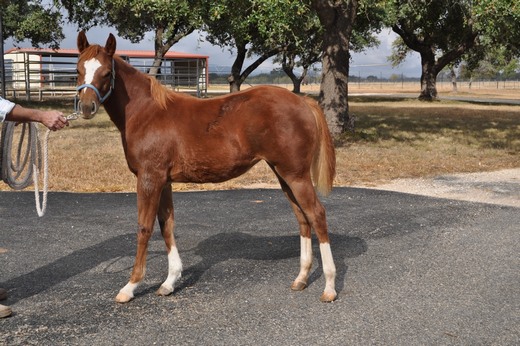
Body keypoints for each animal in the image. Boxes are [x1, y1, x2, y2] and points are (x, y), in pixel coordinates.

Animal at [76, 32, 338, 302]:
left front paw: (130, 286)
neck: (147, 113)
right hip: (284, 175)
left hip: (296, 175)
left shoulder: (149, 179)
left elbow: (144, 227)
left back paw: (329, 286)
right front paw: (169, 282)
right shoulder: (164, 181)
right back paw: (302, 278)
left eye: (107, 72)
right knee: (303, 218)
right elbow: (166, 225)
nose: (86, 107)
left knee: (317, 215)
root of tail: (303, 102)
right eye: (78, 69)